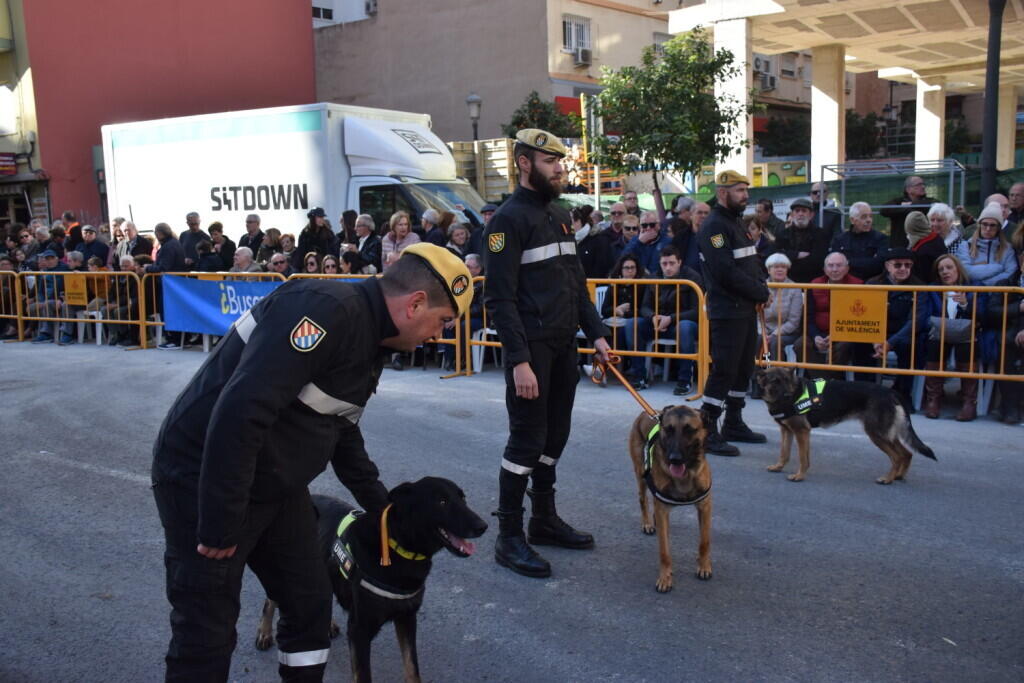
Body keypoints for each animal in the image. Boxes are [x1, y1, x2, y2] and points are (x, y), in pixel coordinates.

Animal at [255, 477, 488, 682]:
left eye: (463, 498)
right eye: (442, 501)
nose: (483, 526)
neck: (397, 545)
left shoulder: (407, 618)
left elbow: (412, 669)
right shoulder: (359, 631)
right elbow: (364, 675)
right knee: (271, 600)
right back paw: (264, 633)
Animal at [627, 405, 712, 593]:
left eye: (690, 430)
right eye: (668, 429)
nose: (675, 459)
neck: (686, 476)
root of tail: (645, 413)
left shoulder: (705, 507)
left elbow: (704, 542)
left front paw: (704, 566)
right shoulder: (663, 509)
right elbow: (664, 552)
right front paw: (665, 578)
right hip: (641, 474)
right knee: (643, 500)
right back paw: (647, 523)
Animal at [756, 367, 936, 484]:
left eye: (787, 381)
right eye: (775, 381)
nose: (788, 395)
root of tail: (890, 392)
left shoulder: (802, 432)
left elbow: (802, 457)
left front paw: (799, 476)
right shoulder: (787, 431)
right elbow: (784, 453)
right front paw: (779, 467)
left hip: (876, 434)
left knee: (897, 456)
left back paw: (888, 479)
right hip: (886, 434)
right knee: (907, 453)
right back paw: (898, 476)